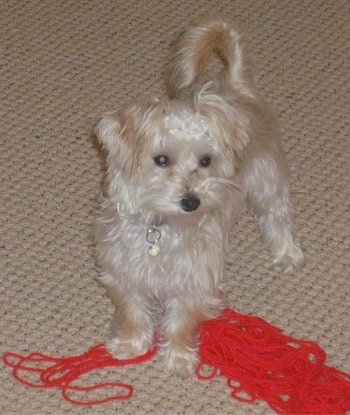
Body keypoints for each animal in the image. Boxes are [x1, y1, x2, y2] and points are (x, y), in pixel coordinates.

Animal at [94, 19, 302, 376]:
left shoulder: (194, 280)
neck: (162, 228)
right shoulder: (125, 274)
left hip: (267, 180)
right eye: (161, 159)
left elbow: (181, 321)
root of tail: (238, 88)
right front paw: (131, 345)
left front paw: (178, 358)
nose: (192, 202)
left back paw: (287, 253)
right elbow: (133, 312)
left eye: (205, 161)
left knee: (276, 216)